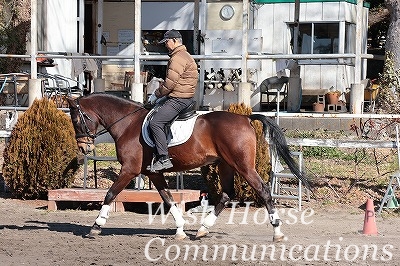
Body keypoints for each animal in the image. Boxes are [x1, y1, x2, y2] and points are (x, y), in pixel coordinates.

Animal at [65, 93, 310, 241]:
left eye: (76, 120)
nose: (84, 148)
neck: (127, 124)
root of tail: (245, 118)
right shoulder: (153, 173)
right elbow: (168, 199)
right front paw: (181, 230)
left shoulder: (129, 169)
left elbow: (110, 194)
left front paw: (96, 225)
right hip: (226, 165)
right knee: (226, 194)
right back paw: (203, 228)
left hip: (243, 165)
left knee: (263, 190)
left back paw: (277, 232)